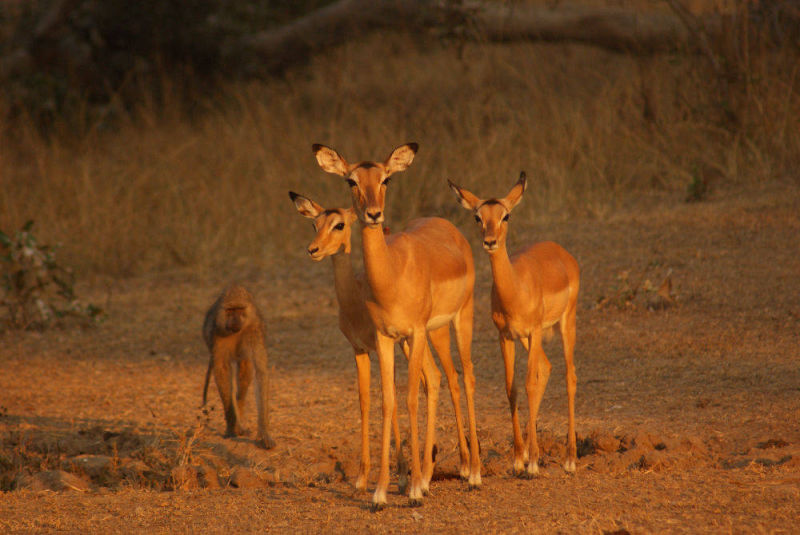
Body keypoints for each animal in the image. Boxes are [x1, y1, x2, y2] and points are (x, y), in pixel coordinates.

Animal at [312, 143, 481, 508]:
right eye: (351, 180)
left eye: (386, 179)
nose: (374, 214)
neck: (391, 275)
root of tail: (449, 228)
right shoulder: (385, 339)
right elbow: (388, 400)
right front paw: (379, 493)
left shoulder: (413, 333)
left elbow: (410, 399)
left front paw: (413, 490)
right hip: (427, 335)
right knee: (438, 378)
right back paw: (431, 476)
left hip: (459, 320)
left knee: (466, 376)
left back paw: (473, 474)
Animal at [449, 172, 580, 476]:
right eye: (478, 217)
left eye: (505, 215)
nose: (490, 241)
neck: (516, 287)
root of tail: (562, 253)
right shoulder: (505, 336)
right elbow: (512, 388)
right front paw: (520, 458)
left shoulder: (534, 331)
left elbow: (530, 384)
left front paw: (532, 463)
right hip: (527, 338)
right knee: (546, 366)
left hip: (565, 323)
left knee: (569, 375)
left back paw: (570, 459)